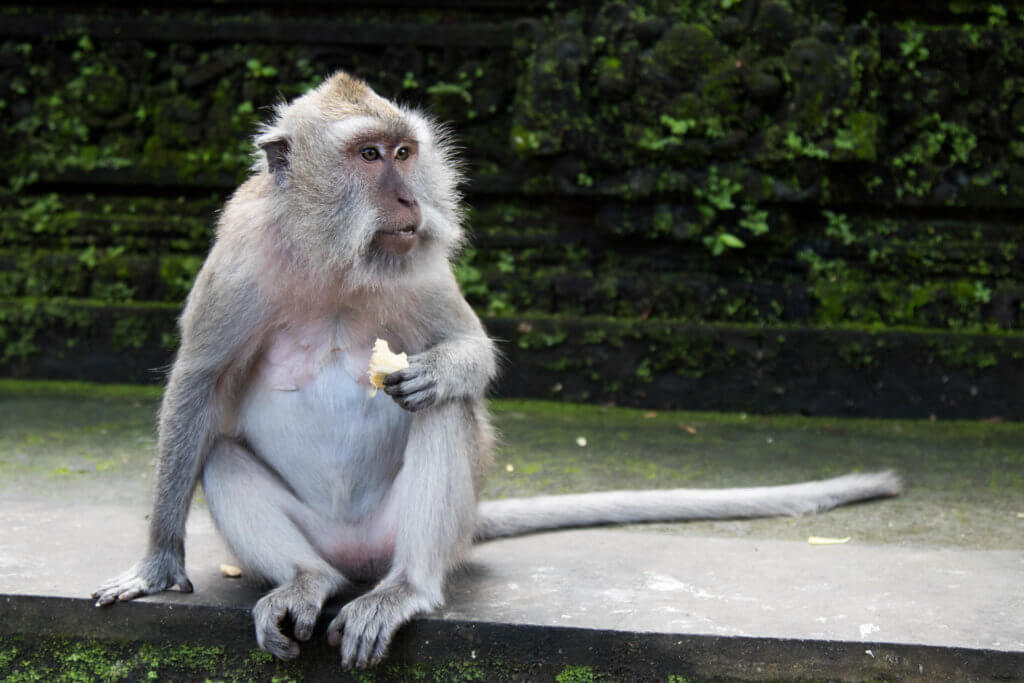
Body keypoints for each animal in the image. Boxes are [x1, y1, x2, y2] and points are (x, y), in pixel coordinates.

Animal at [91, 71, 902, 669]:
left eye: (405, 153)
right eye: (368, 157)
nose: (407, 196)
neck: (336, 259)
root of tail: (361, 557)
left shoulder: (418, 258)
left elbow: (470, 351)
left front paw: (443, 370)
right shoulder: (238, 255)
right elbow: (198, 384)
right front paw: (157, 566)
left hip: (419, 535)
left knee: (441, 421)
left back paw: (406, 589)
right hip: (322, 536)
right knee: (223, 457)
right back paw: (305, 580)